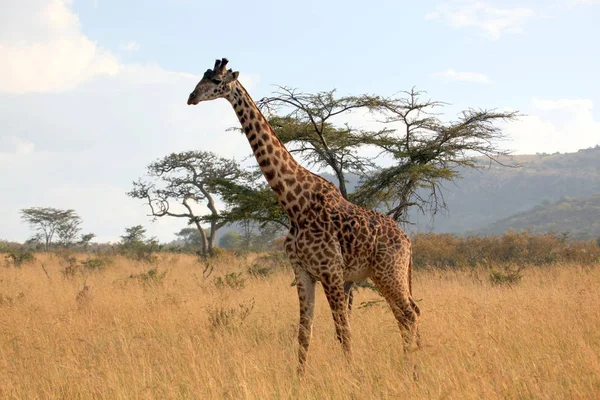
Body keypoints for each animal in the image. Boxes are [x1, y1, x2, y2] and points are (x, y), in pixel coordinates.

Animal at [188, 57, 422, 372]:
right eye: (202, 77)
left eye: (215, 81)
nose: (191, 97)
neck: (294, 204)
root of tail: (407, 241)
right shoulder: (302, 270)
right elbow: (303, 331)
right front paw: (299, 376)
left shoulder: (331, 271)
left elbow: (342, 330)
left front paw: (351, 374)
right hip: (383, 273)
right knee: (407, 313)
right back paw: (413, 363)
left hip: (388, 271)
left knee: (409, 314)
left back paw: (412, 367)